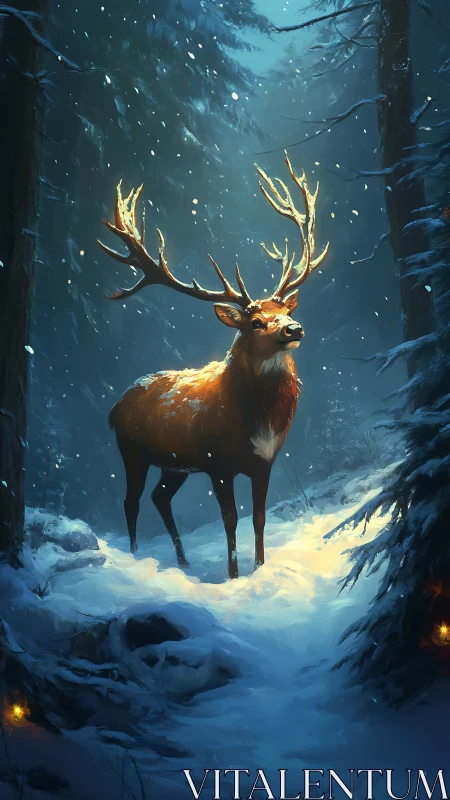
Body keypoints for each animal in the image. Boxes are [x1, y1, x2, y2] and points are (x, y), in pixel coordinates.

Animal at [98, 151, 329, 579]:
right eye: (255, 322)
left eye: (285, 311)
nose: (295, 328)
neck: (257, 422)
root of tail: (115, 405)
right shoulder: (217, 463)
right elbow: (230, 519)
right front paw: (234, 576)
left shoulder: (264, 462)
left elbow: (259, 518)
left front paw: (259, 567)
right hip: (132, 450)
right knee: (131, 501)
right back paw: (137, 557)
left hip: (174, 466)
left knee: (159, 498)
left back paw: (183, 559)